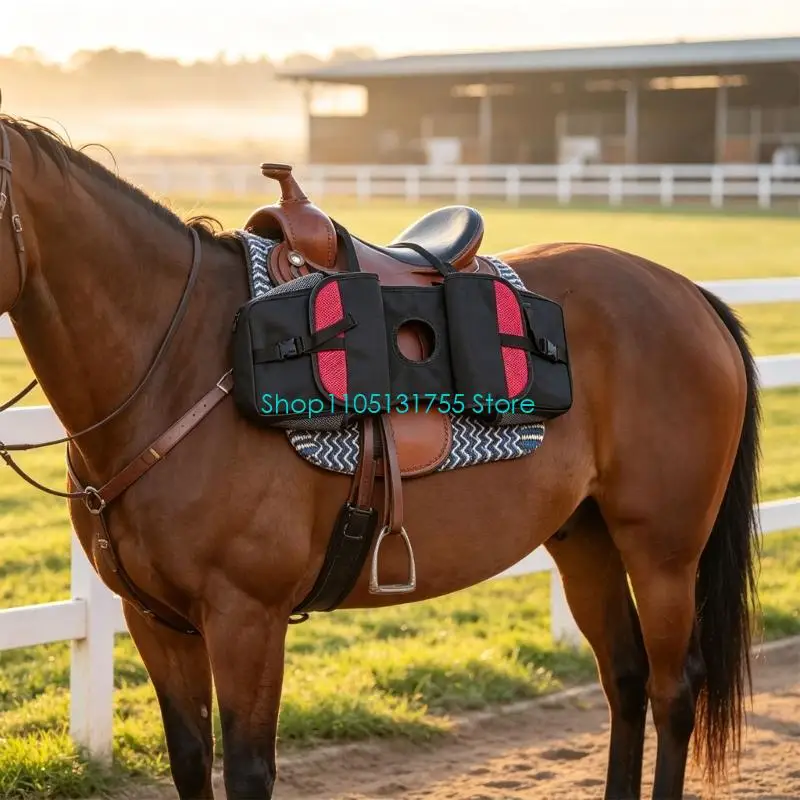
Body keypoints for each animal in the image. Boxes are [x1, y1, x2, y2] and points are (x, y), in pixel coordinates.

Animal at [0, 113, 761, 800]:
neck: (181, 361)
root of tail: (688, 293)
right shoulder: (156, 620)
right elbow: (189, 762)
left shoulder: (247, 618)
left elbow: (247, 771)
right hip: (586, 538)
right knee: (625, 681)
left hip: (663, 551)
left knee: (673, 690)